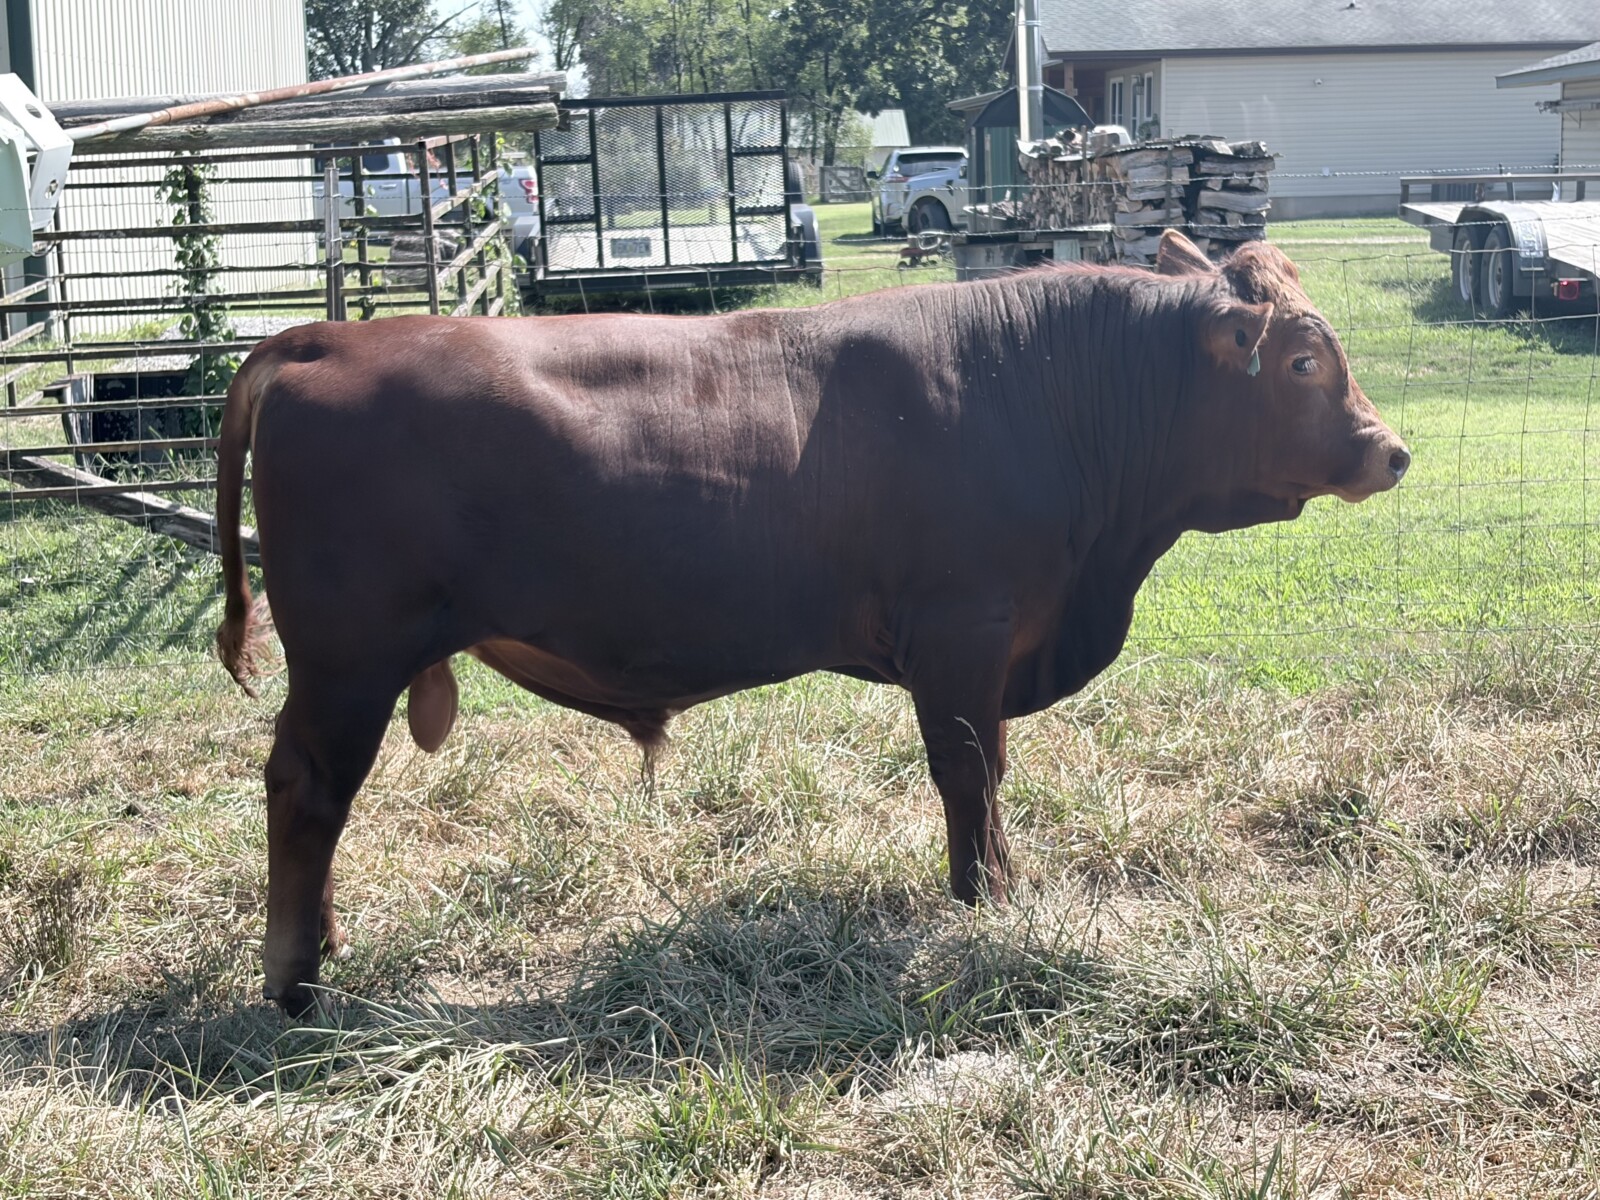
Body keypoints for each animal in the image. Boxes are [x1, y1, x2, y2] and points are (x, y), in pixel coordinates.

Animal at [214, 229, 1409, 1016]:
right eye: (1304, 362)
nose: (1388, 450)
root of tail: (320, 339)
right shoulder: (963, 630)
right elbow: (969, 768)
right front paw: (985, 899)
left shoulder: (994, 640)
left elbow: (991, 767)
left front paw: (996, 887)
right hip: (349, 656)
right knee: (308, 789)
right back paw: (295, 980)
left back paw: (324, 942)